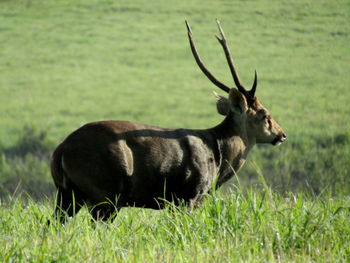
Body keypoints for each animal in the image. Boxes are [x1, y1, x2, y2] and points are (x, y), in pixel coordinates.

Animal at [50, 19, 284, 224]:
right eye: (265, 115)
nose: (282, 134)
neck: (218, 155)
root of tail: (60, 151)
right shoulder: (188, 196)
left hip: (67, 194)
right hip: (106, 192)